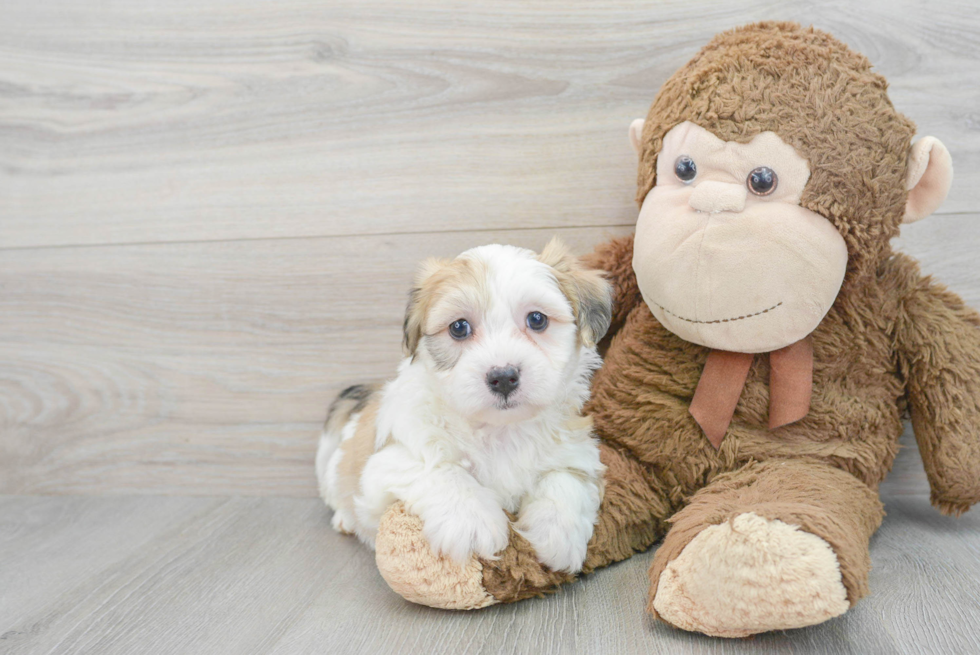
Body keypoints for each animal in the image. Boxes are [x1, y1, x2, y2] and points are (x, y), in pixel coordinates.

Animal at [314, 241, 608, 576]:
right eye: (458, 327)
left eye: (537, 320)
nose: (503, 376)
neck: (500, 430)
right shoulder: (390, 460)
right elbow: (440, 469)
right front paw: (472, 520)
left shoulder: (576, 452)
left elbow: (564, 478)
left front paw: (558, 532)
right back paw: (344, 519)